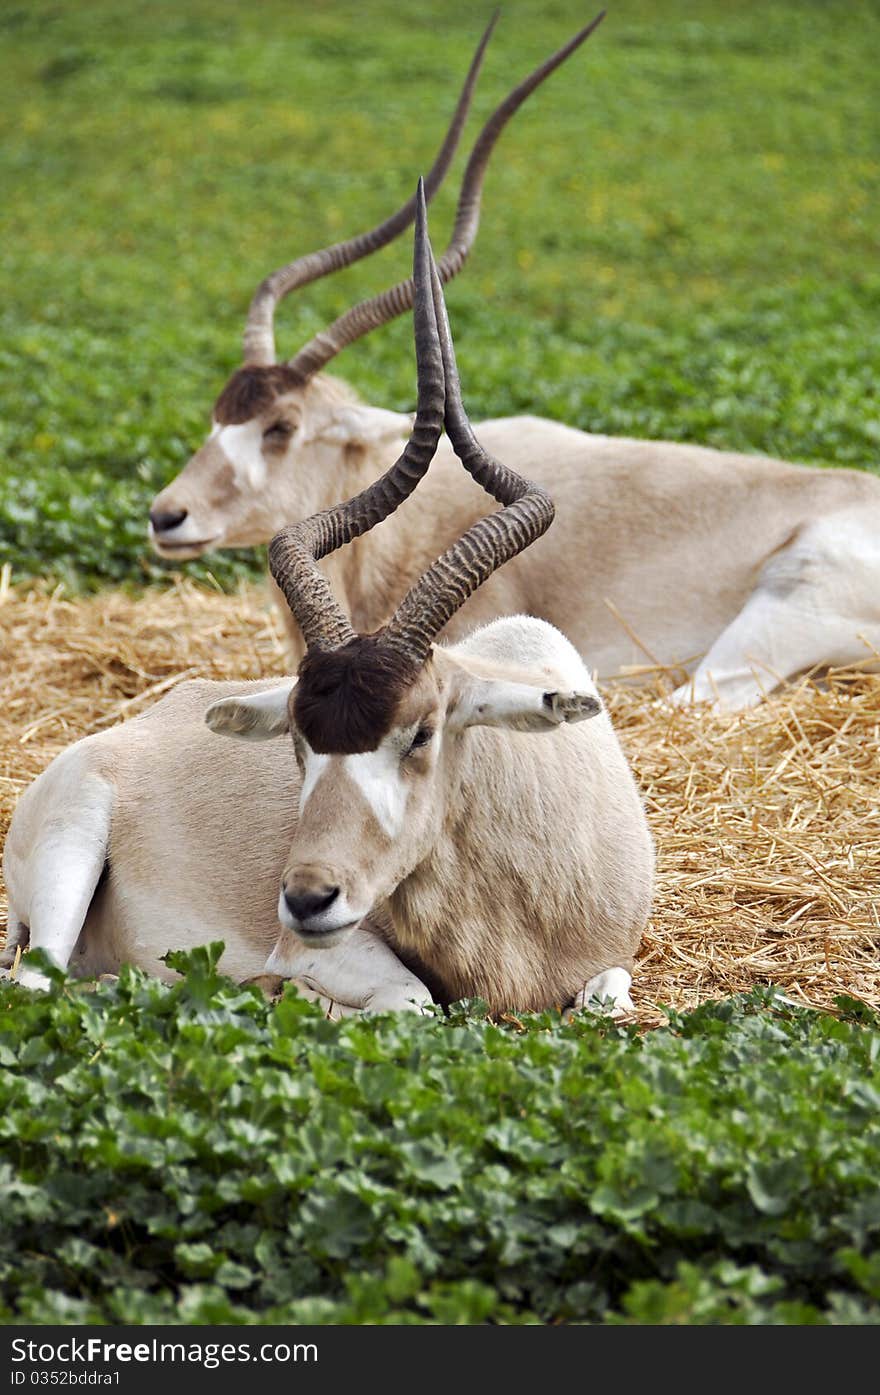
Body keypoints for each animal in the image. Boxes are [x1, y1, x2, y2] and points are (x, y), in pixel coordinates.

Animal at [3, 191, 655, 1021]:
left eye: (422, 732)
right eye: (299, 740)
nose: (307, 898)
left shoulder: (609, 962)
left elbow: (604, 996)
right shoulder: (328, 946)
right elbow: (412, 998)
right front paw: (293, 993)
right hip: (71, 853)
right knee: (34, 981)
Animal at [149, 10, 880, 708]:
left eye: (282, 426)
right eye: (218, 416)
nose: (165, 515)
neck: (406, 522)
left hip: (781, 608)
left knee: (696, 698)